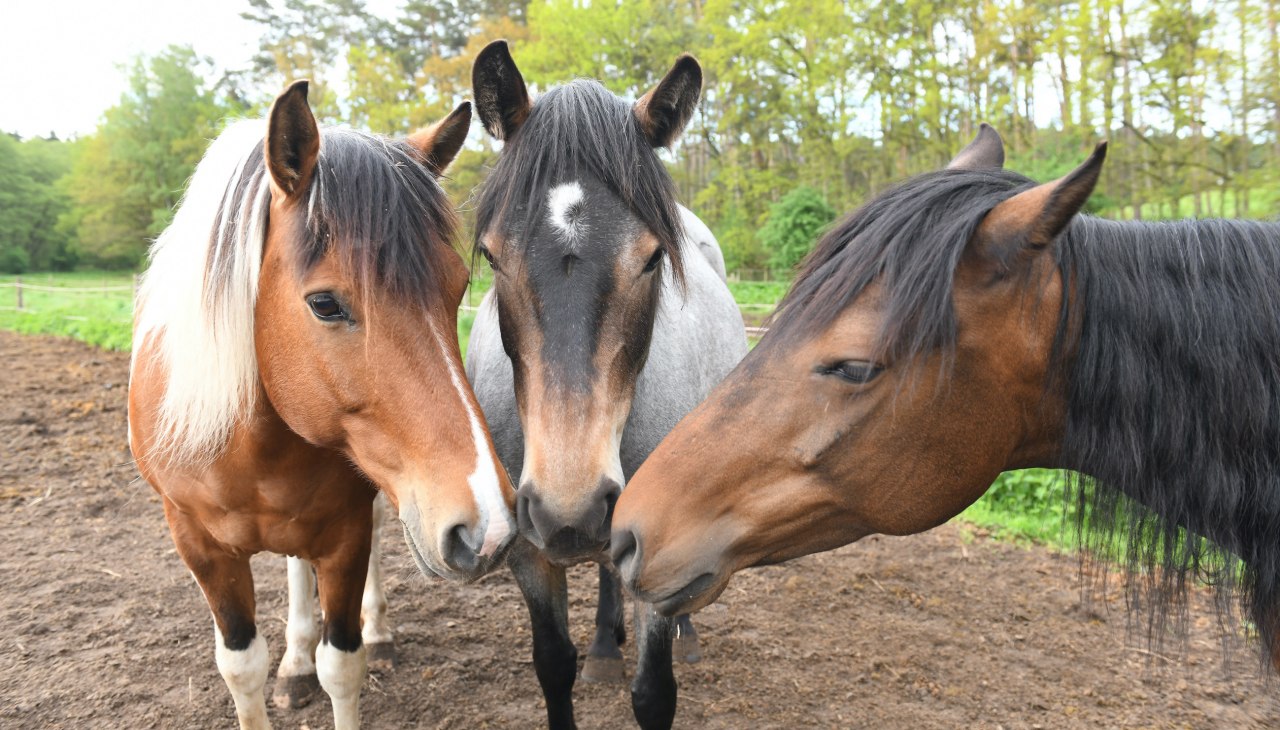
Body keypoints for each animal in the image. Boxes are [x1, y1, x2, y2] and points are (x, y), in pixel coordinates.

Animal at [129, 81, 516, 730]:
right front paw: (287, 667)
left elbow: (344, 665)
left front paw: (352, 648)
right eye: (326, 304)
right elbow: (241, 667)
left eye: (458, 287)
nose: (486, 528)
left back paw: (375, 635)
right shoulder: (198, 544)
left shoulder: (345, 534)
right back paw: (294, 663)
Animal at [465, 41, 748, 729]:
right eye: (492, 256)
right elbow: (553, 664)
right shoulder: (530, 550)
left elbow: (654, 692)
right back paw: (602, 643)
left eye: (652, 258)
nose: (570, 508)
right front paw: (587, 653)